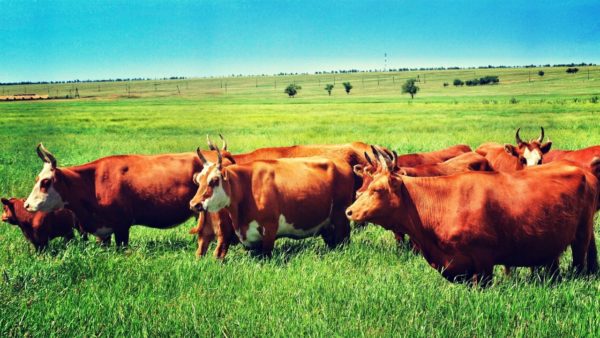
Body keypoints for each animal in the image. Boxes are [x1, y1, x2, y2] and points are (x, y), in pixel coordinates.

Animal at [344, 151, 596, 286]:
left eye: (377, 189)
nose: (349, 211)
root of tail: (580, 169)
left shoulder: (483, 261)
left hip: (581, 235)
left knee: (579, 262)